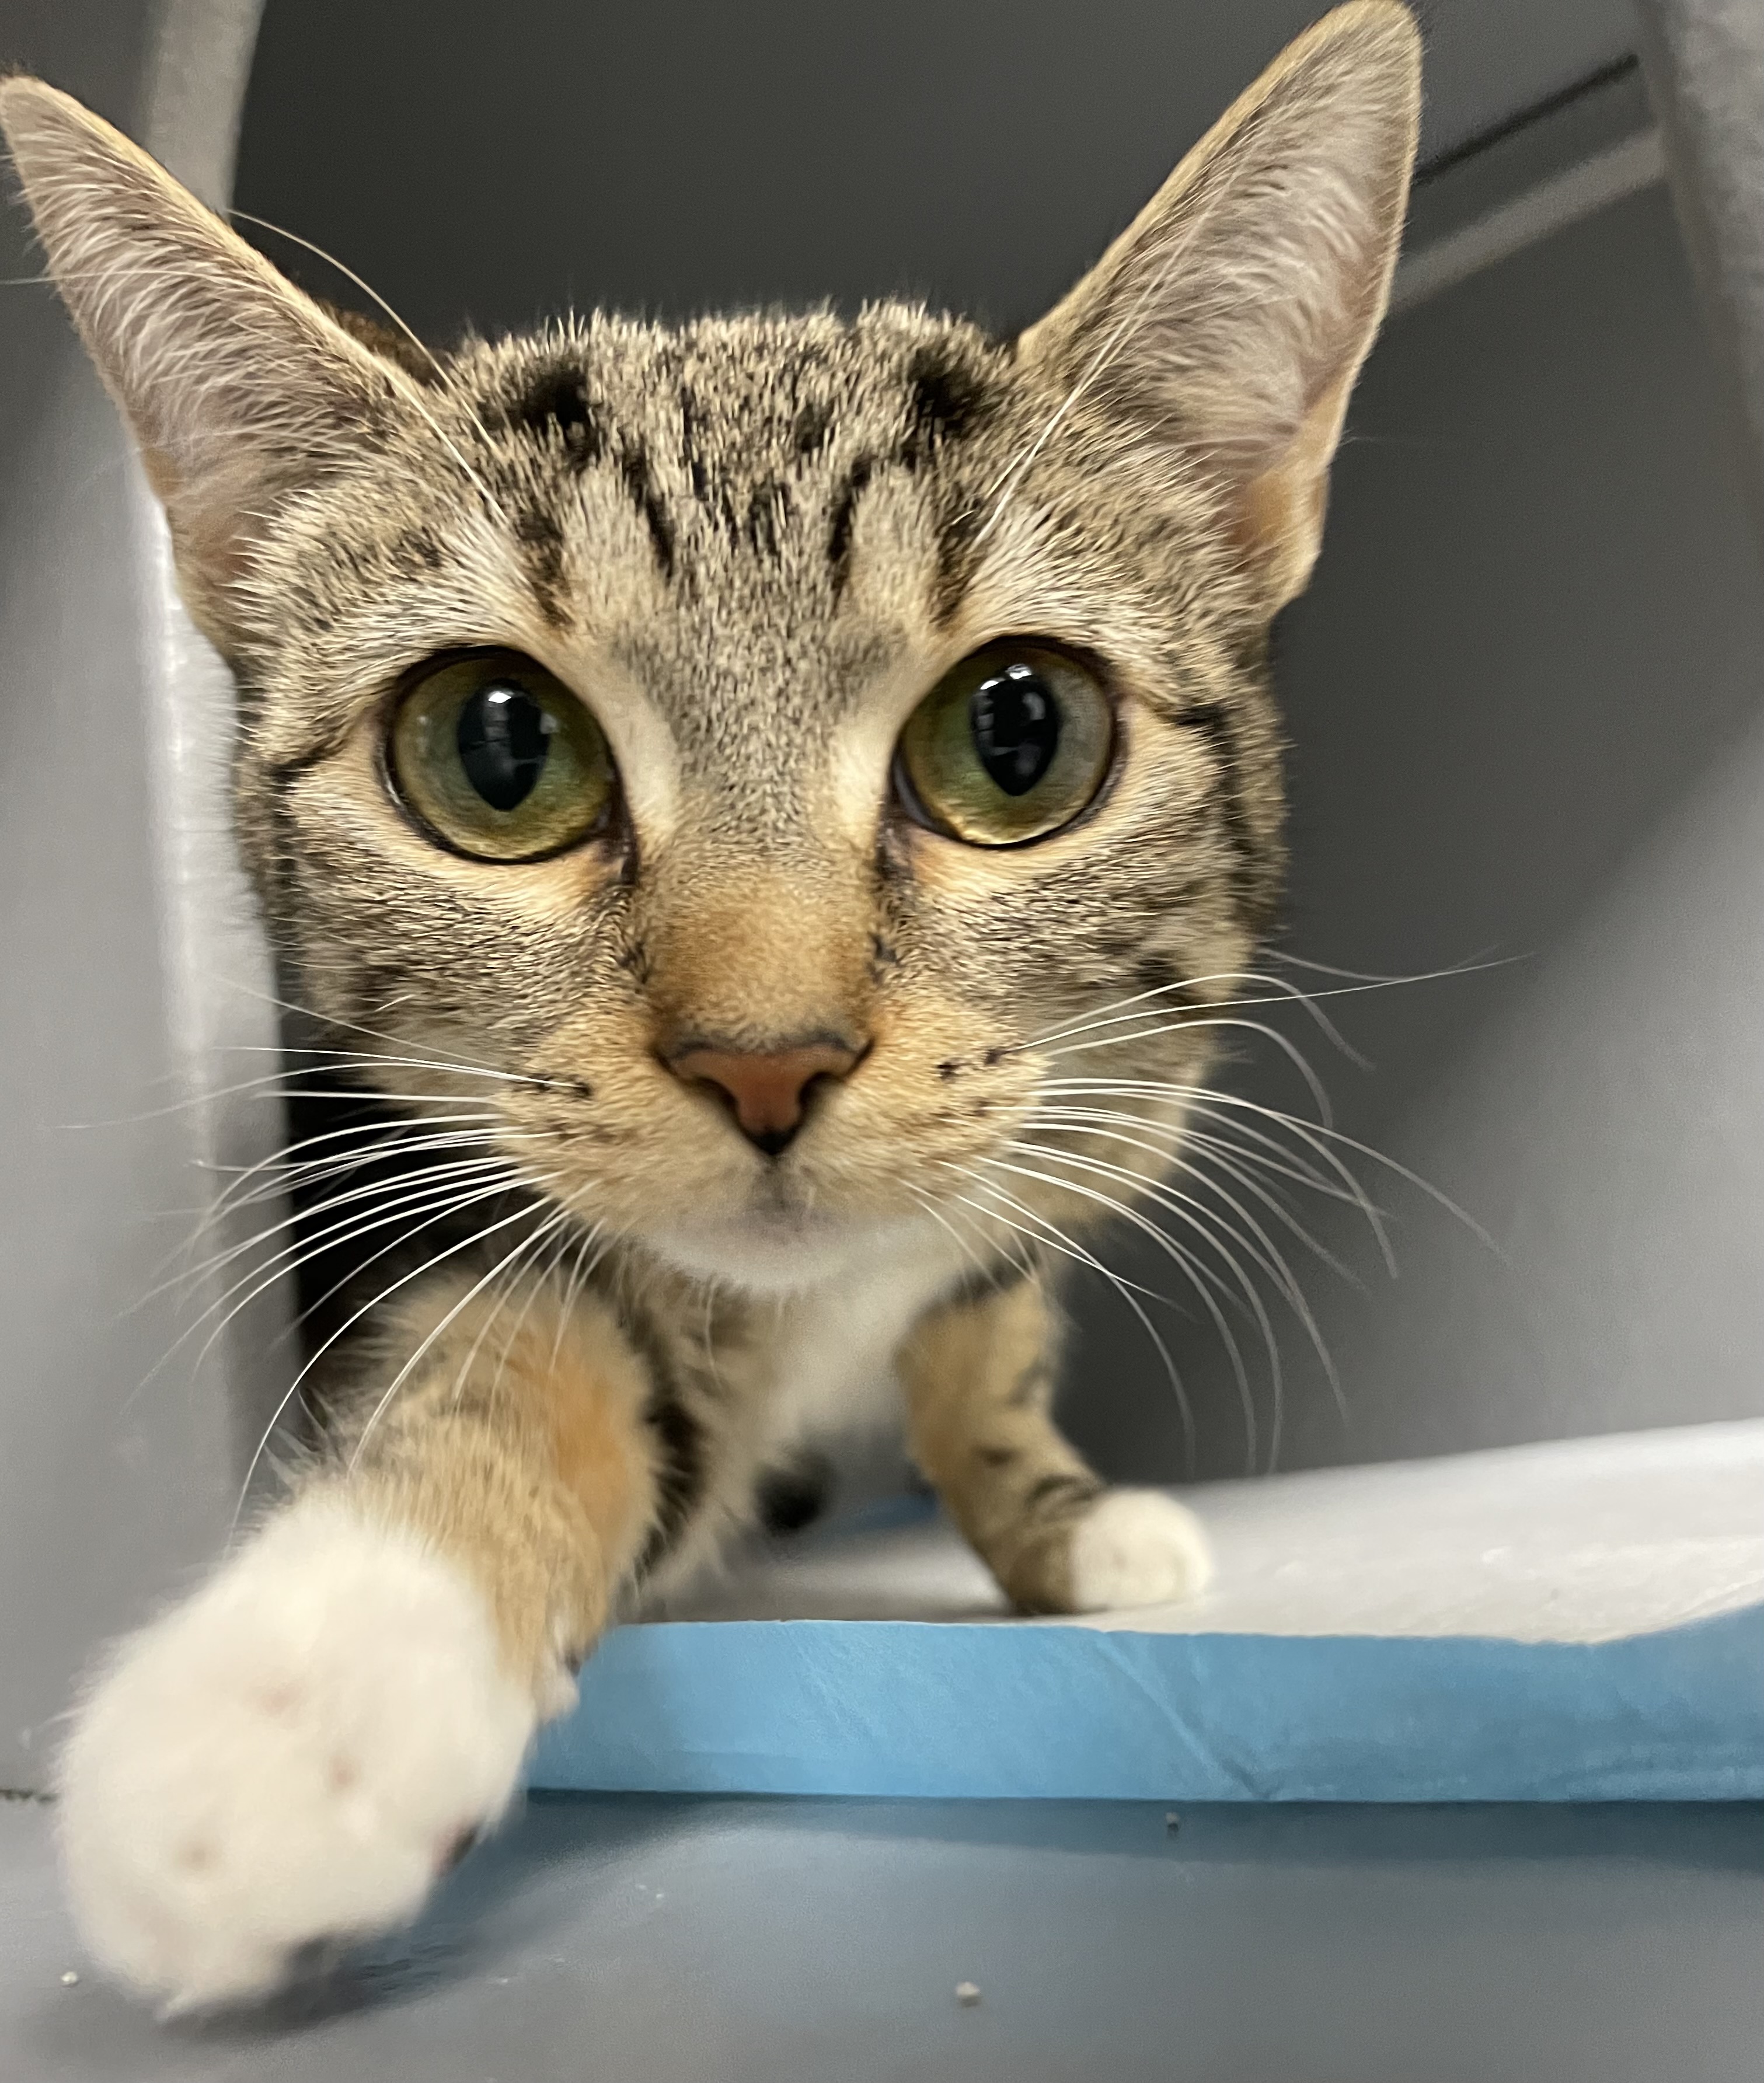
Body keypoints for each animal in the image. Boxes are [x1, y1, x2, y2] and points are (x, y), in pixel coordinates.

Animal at [0, 4, 1424, 2016]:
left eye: (1018, 734)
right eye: (494, 752)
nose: (769, 1056)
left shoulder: (1071, 1125)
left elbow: (981, 1329)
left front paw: (1051, 1517)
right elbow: (538, 1362)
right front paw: (310, 1685)